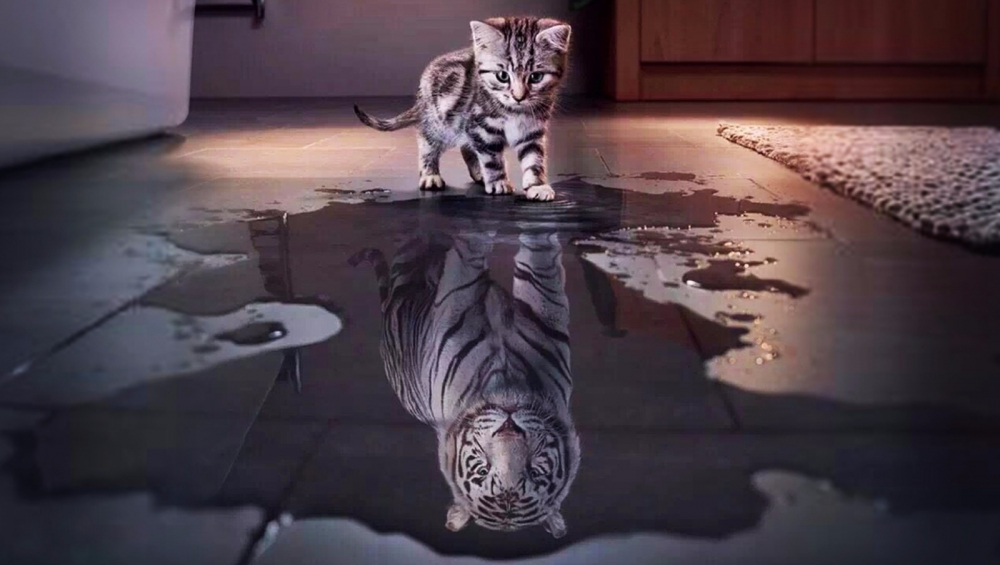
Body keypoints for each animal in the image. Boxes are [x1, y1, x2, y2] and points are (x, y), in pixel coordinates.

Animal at [350, 229, 580, 537]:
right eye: (483, 471)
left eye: (534, 472)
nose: (509, 426)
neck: (507, 380)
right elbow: (476, 262)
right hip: (407, 264)